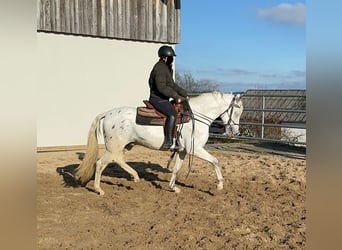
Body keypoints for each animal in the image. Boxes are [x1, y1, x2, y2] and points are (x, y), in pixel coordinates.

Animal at [75, 91, 243, 194]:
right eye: (237, 110)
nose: (235, 132)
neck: (195, 117)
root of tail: (107, 113)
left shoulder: (183, 151)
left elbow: (176, 169)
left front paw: (173, 188)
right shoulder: (195, 149)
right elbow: (215, 160)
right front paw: (220, 184)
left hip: (121, 146)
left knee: (118, 160)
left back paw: (135, 177)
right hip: (113, 147)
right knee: (100, 164)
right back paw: (98, 189)